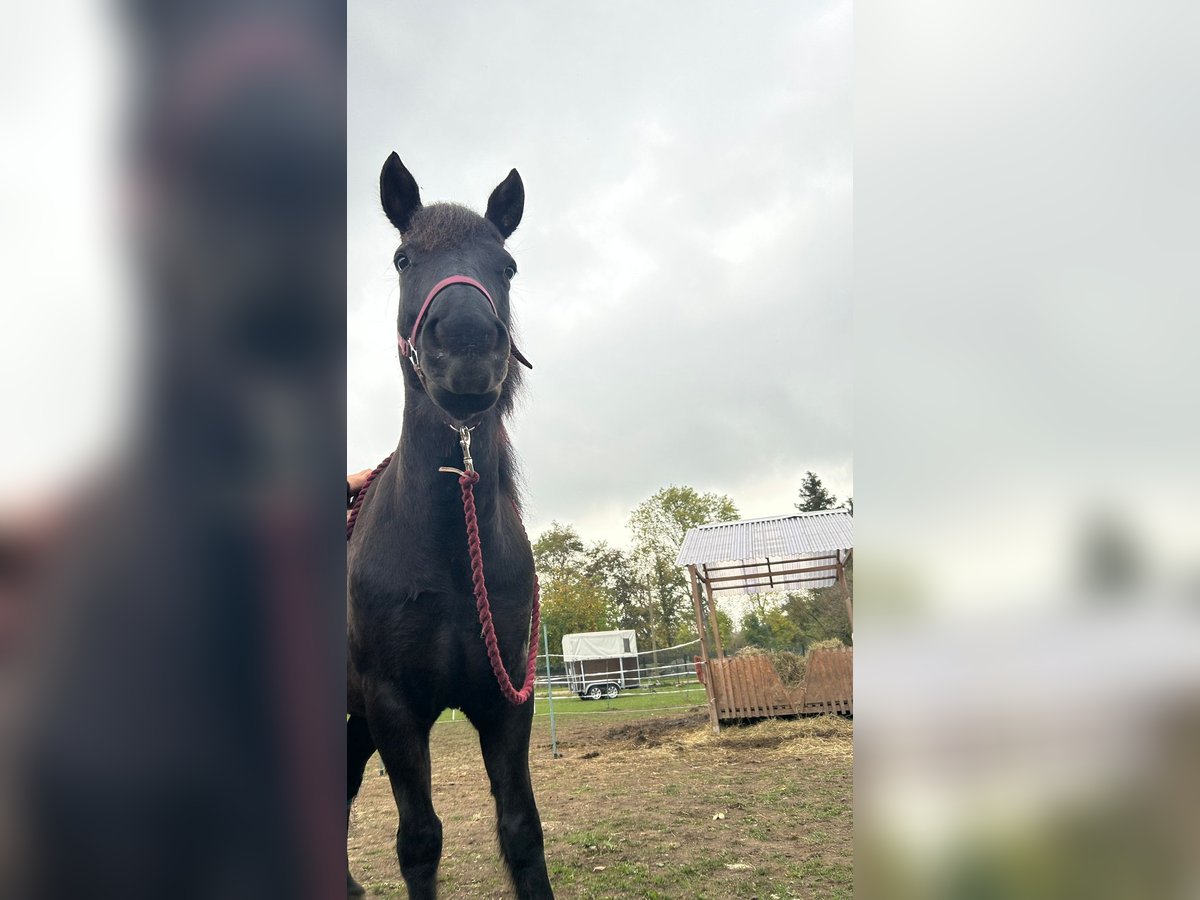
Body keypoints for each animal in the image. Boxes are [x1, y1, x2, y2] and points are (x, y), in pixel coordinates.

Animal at [345, 157, 554, 900]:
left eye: (508, 265)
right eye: (404, 258)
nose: (465, 347)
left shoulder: (508, 701)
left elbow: (521, 829)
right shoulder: (394, 708)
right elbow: (419, 841)